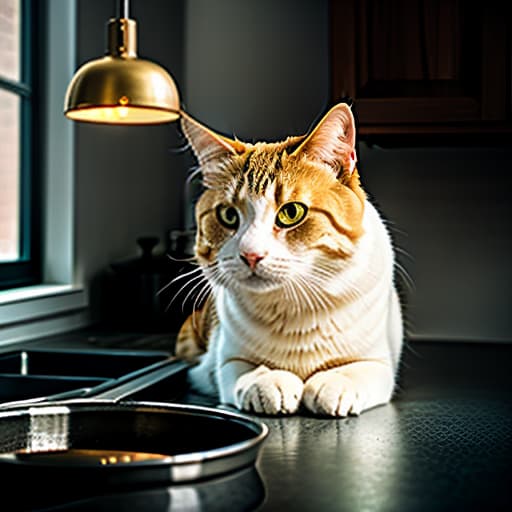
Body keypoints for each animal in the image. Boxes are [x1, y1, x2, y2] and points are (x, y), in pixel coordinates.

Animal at [176, 103, 404, 416]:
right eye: (228, 215)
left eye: (291, 212)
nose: (251, 254)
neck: (295, 303)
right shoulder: (226, 360)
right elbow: (244, 367)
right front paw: (268, 380)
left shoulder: (380, 361)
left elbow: (359, 368)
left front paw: (334, 384)